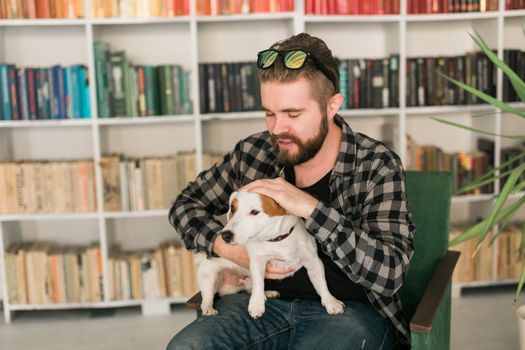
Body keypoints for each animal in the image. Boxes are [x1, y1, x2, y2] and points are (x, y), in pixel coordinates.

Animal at [194, 190, 346, 318]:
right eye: (233, 208)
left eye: (254, 211)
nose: (225, 235)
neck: (277, 240)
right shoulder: (258, 262)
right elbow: (259, 283)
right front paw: (256, 304)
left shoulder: (313, 261)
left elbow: (322, 284)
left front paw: (330, 301)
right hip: (209, 277)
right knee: (206, 299)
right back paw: (208, 308)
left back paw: (267, 293)